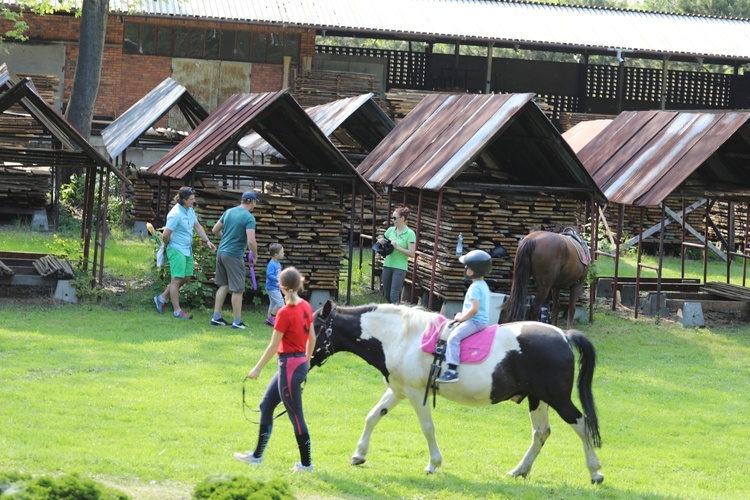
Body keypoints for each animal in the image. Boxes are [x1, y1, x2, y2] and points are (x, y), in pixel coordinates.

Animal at [312, 300, 604, 484]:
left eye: (314, 328)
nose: (306, 359)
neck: (401, 337)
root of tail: (563, 335)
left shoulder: (417, 393)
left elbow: (427, 428)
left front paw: (433, 464)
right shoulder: (399, 390)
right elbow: (373, 416)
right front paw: (359, 455)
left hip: (558, 399)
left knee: (582, 424)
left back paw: (595, 472)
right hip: (538, 399)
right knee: (541, 433)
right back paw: (519, 471)